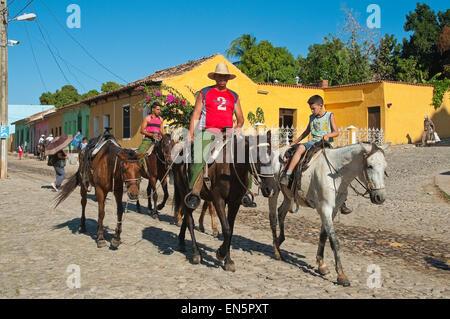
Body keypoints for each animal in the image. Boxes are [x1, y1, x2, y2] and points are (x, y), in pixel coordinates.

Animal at [173, 131, 276, 272]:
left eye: (272, 155)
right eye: (256, 155)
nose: (269, 189)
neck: (230, 169)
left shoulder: (235, 203)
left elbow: (230, 230)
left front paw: (228, 260)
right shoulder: (218, 200)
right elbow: (226, 229)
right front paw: (220, 254)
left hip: (191, 199)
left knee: (186, 218)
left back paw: (182, 242)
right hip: (184, 193)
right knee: (189, 220)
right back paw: (196, 254)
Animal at [268, 142, 390, 288]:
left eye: (385, 167)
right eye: (369, 166)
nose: (380, 197)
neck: (336, 173)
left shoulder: (333, 210)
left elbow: (323, 236)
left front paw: (321, 265)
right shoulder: (325, 209)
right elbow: (334, 240)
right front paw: (341, 276)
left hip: (288, 196)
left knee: (281, 213)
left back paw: (279, 242)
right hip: (273, 192)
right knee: (273, 217)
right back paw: (276, 251)